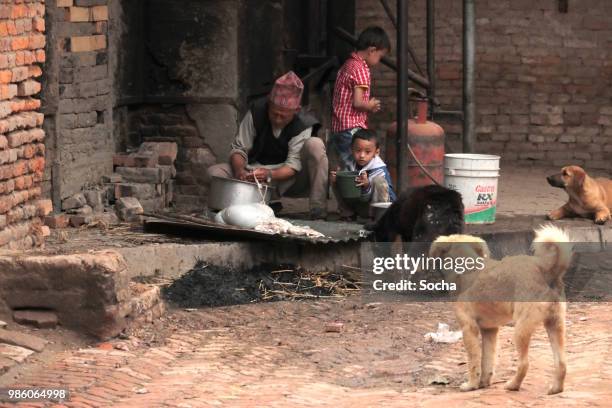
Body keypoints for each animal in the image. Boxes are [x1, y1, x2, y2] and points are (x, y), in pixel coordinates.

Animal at [428, 225, 572, 394]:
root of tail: (547, 269)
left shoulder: (469, 328)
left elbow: (473, 361)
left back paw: (512, 385)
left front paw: (471, 385)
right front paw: (483, 382)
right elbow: (487, 360)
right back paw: (556, 388)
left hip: (520, 329)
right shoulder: (490, 330)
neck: (465, 269)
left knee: (524, 363)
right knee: (562, 363)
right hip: (555, 325)